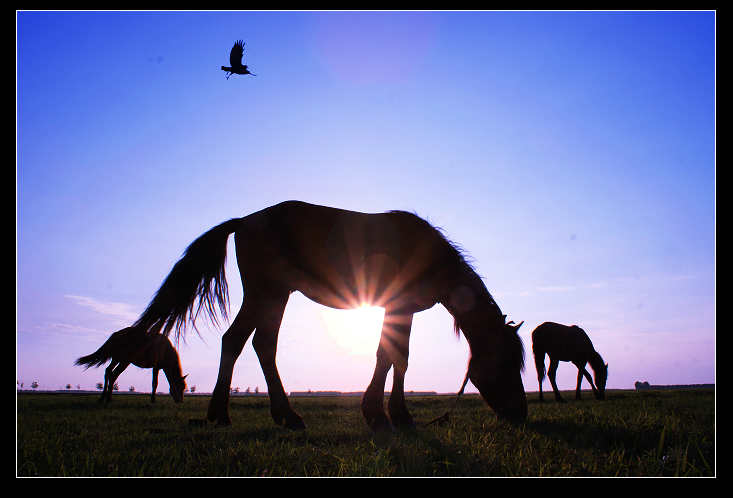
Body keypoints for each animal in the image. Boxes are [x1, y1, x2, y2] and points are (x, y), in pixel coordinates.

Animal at [127, 200, 528, 430]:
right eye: (507, 362)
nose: (521, 414)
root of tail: (244, 221)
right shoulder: (397, 306)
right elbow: (390, 356)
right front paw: (382, 413)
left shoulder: (402, 309)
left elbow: (397, 357)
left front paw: (391, 413)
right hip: (265, 293)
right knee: (241, 341)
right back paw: (234, 414)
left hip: (274, 296)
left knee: (257, 344)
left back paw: (269, 415)